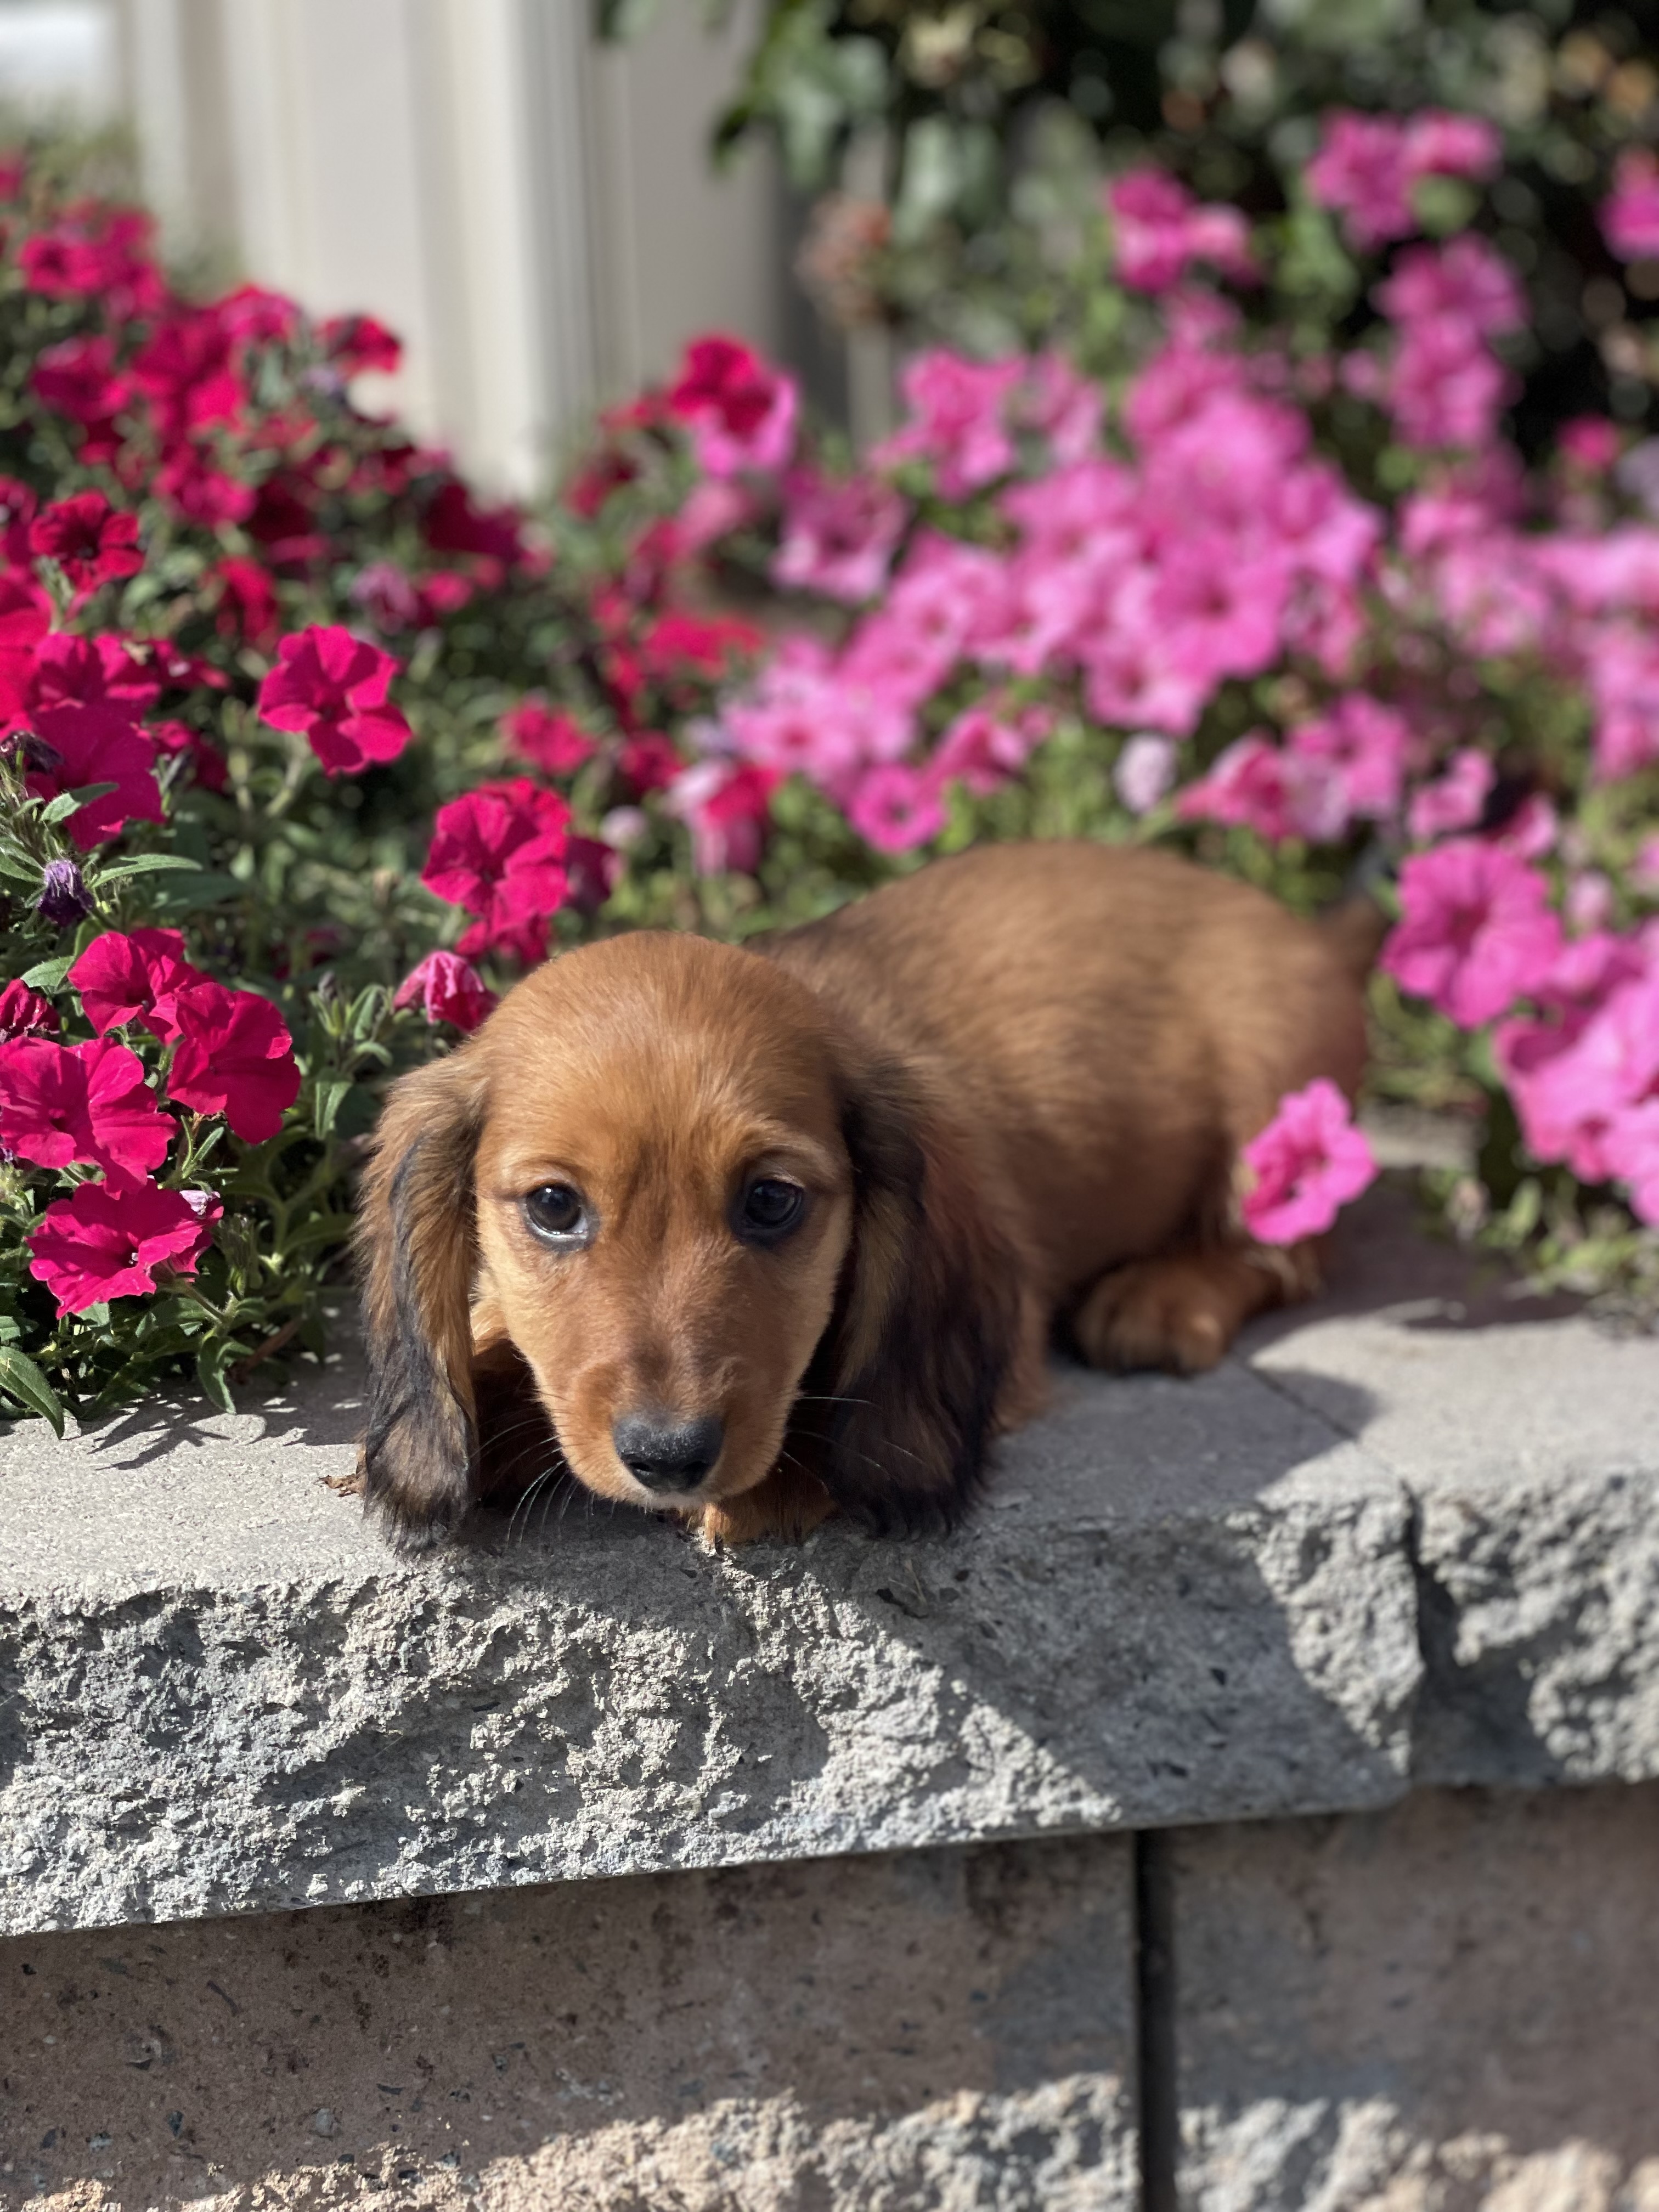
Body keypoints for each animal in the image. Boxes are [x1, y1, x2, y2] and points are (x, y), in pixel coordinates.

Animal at [360, 836, 1380, 1548]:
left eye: (771, 1201)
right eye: (553, 1207)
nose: (669, 1457)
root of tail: (1310, 933)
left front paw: (778, 1479)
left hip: (1273, 1113)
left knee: (1281, 1257)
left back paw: (1164, 1296)